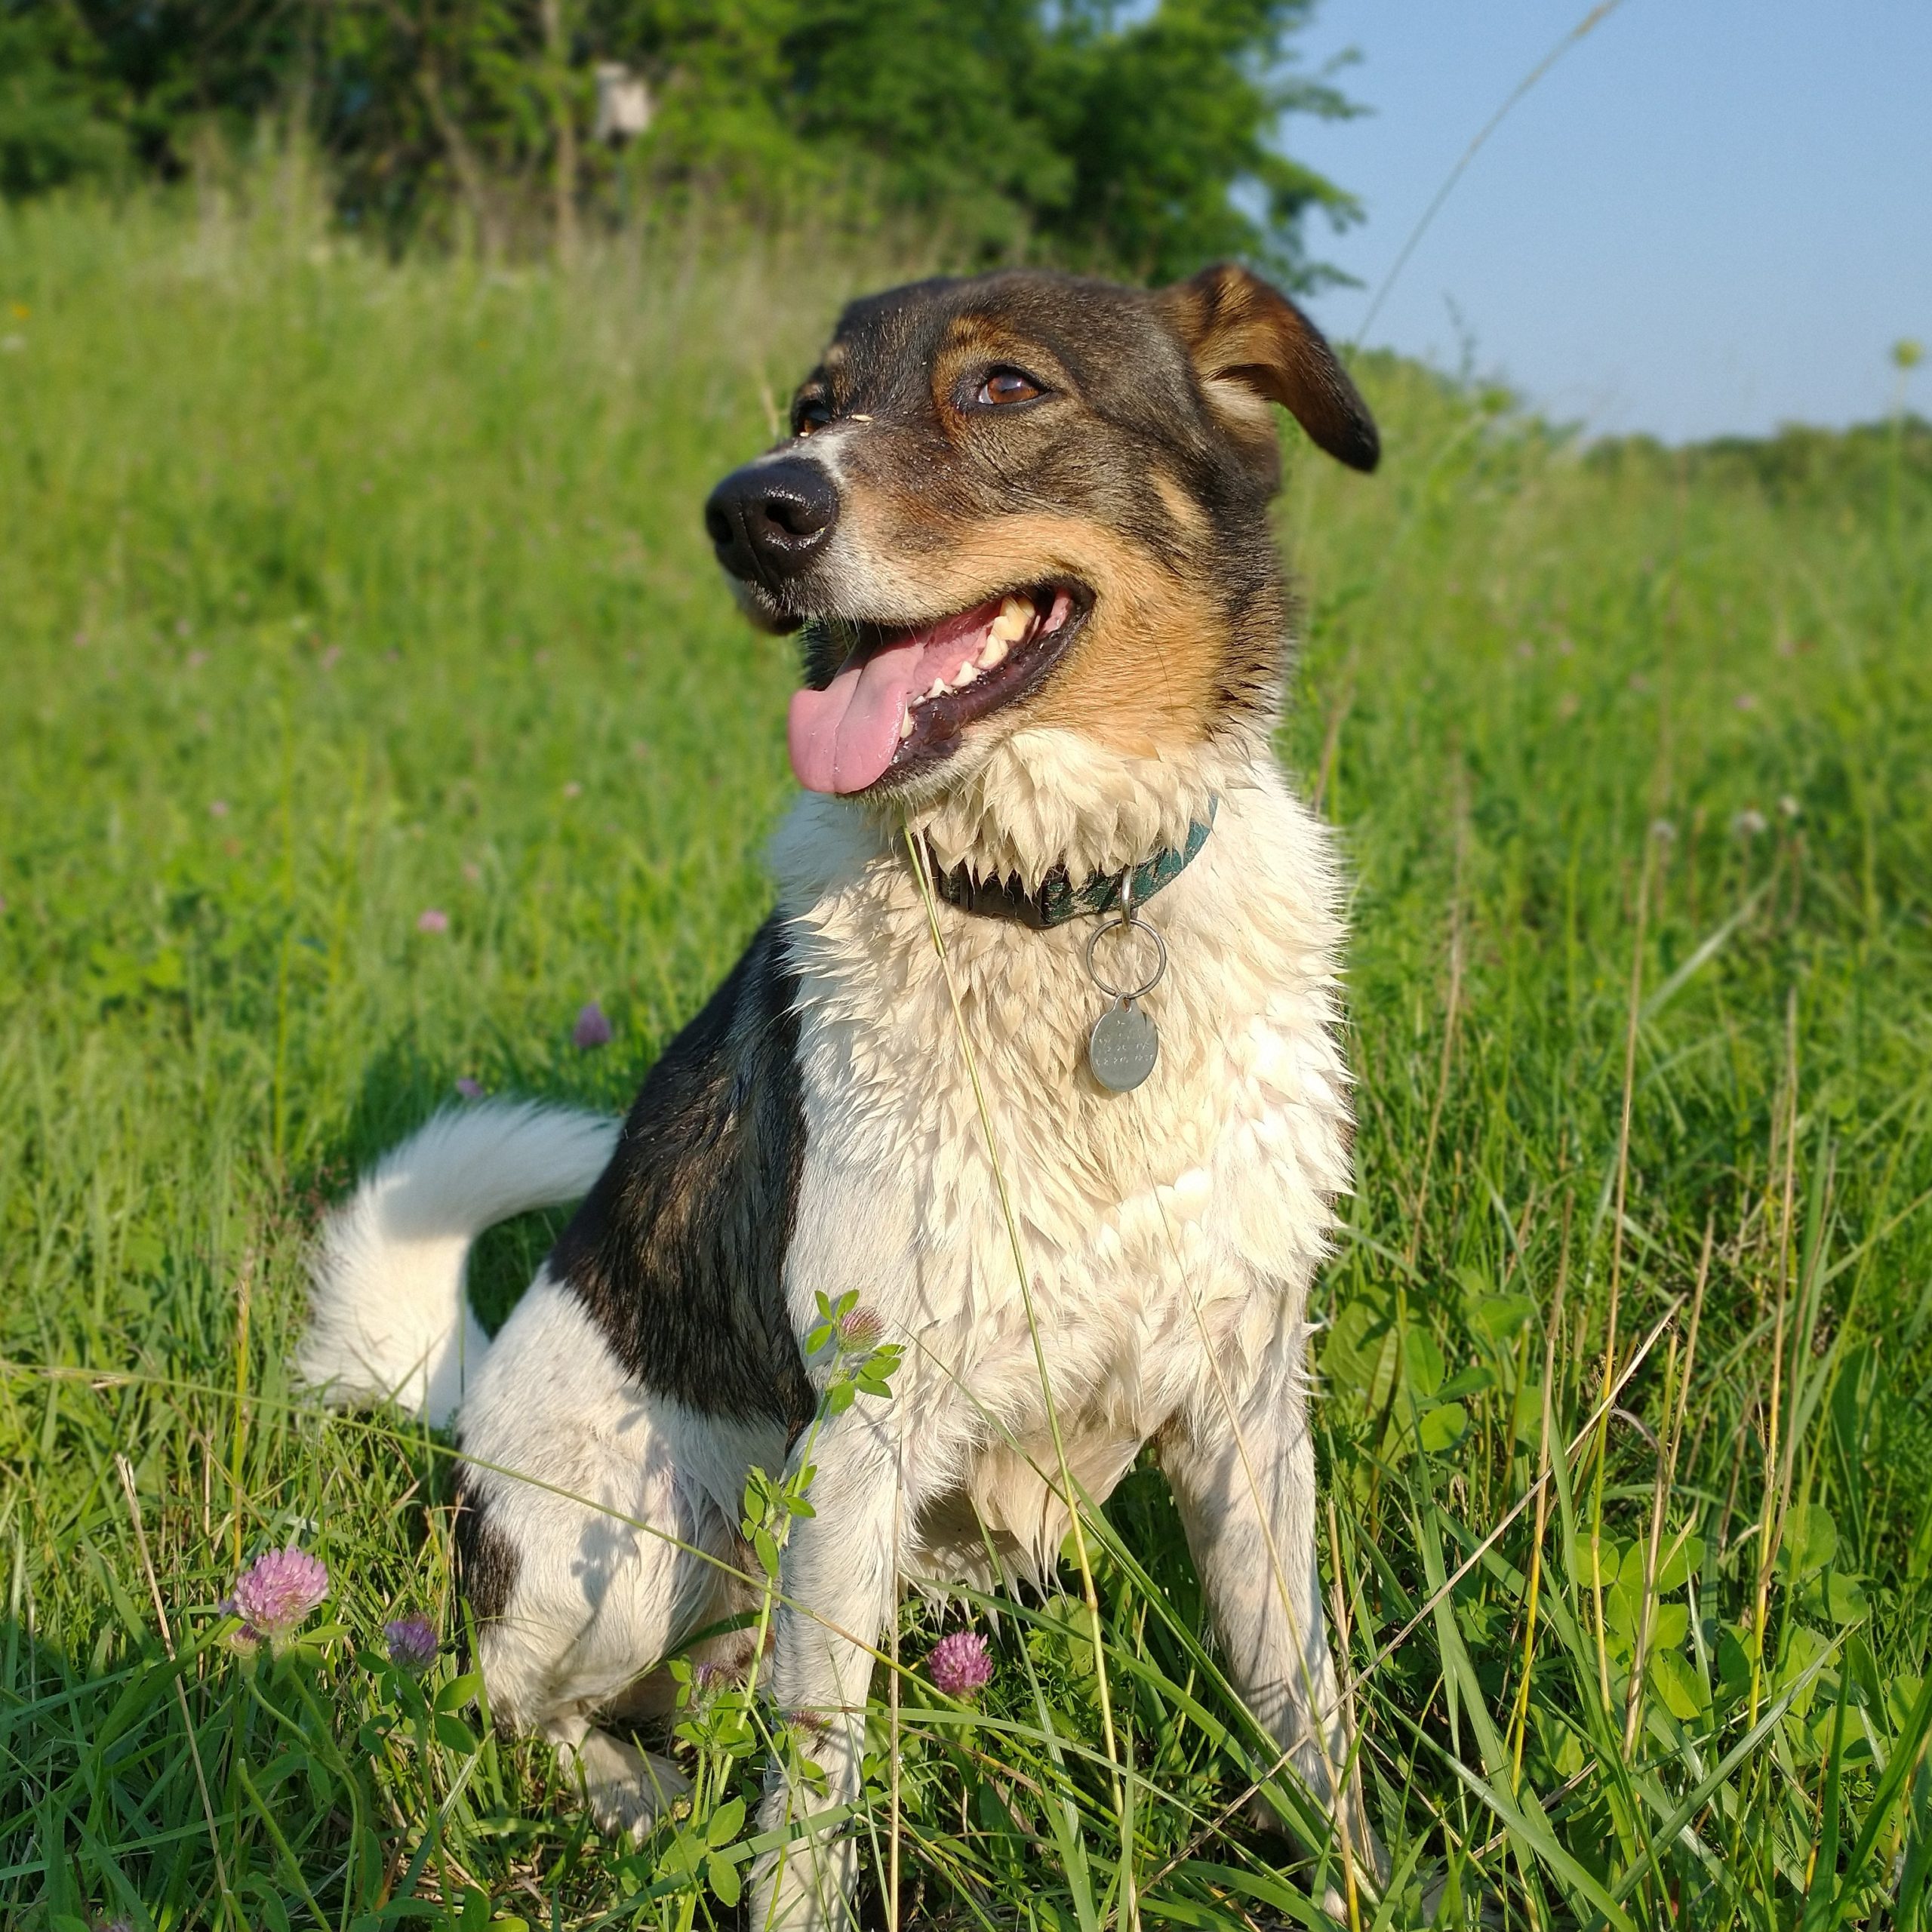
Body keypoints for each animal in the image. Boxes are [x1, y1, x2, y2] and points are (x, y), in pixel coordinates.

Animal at [301, 264, 1383, 1924]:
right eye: (811, 406)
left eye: (1004, 388)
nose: (750, 511)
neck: (1055, 911)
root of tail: (466, 1408)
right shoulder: (865, 1436)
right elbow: (809, 1797)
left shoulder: (1247, 1406)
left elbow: (1303, 1707)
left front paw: (1357, 1882)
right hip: (645, 1533)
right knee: (517, 1698)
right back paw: (625, 1796)